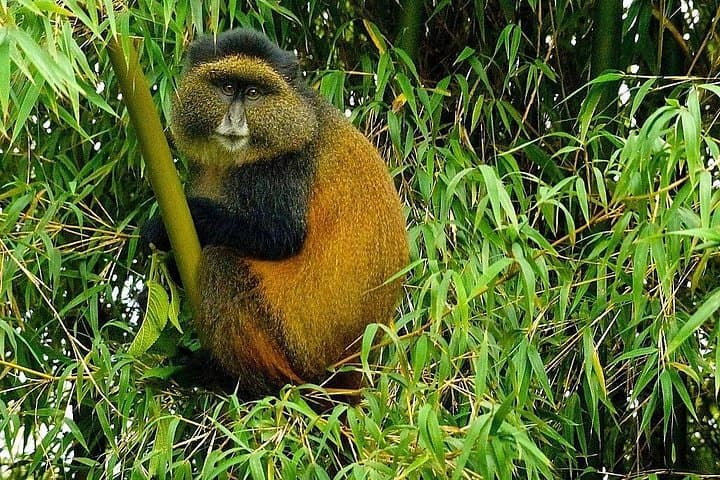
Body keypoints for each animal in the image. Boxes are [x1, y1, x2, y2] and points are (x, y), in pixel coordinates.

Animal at [142, 29, 408, 399]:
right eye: (227, 88)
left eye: (254, 93)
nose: (235, 120)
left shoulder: (284, 166)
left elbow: (279, 238)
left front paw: (167, 226)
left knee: (221, 264)